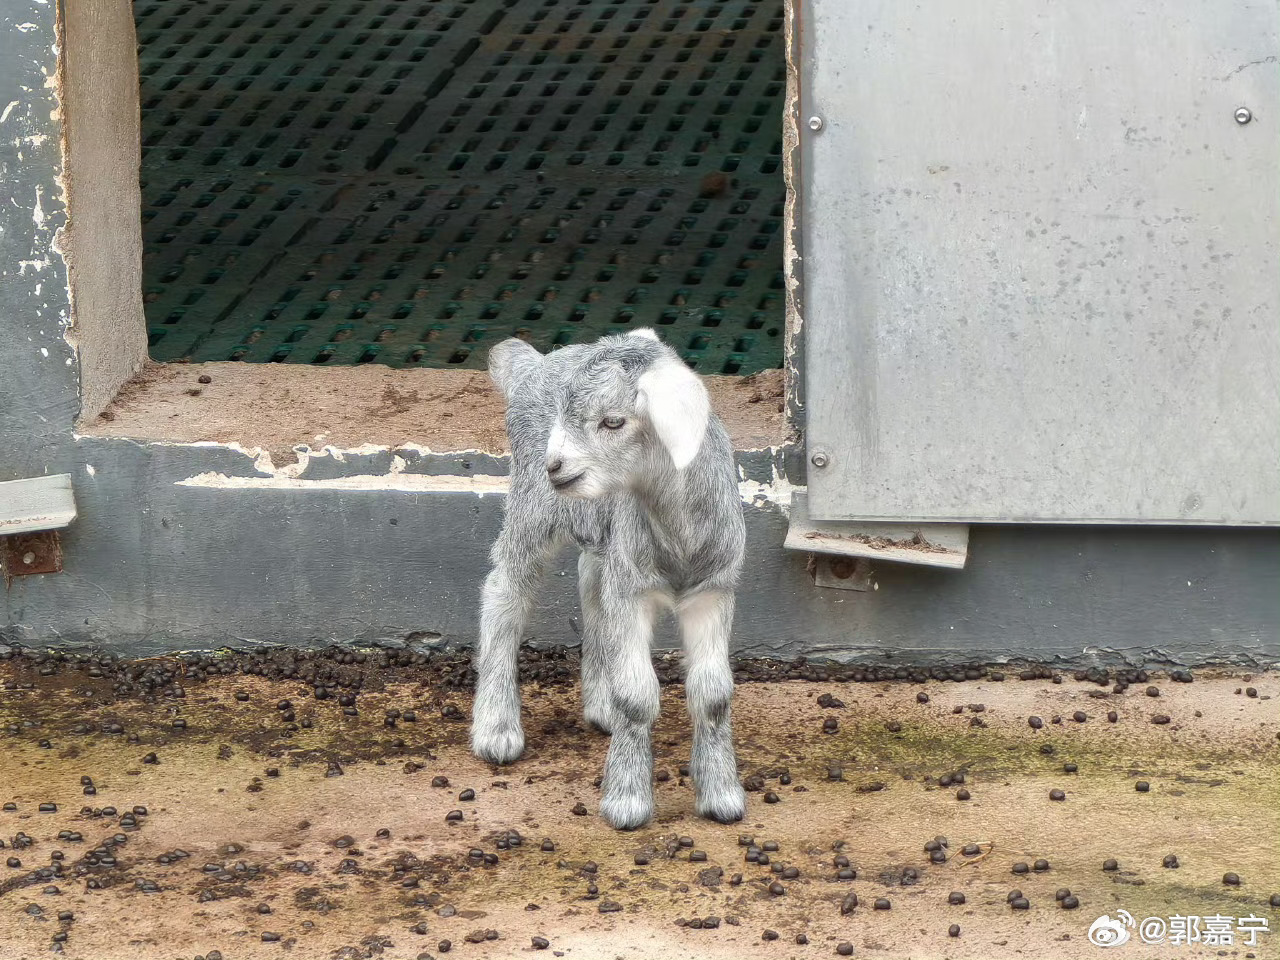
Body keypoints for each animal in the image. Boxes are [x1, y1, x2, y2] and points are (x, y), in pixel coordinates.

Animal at [471, 327, 747, 829]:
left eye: (614, 421)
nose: (556, 465)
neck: (676, 530)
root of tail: (532, 365)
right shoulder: (633, 590)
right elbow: (636, 696)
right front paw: (626, 800)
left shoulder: (713, 590)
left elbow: (714, 694)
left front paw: (722, 796)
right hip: (533, 508)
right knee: (505, 592)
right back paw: (497, 728)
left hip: (602, 532)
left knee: (591, 585)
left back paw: (600, 705)